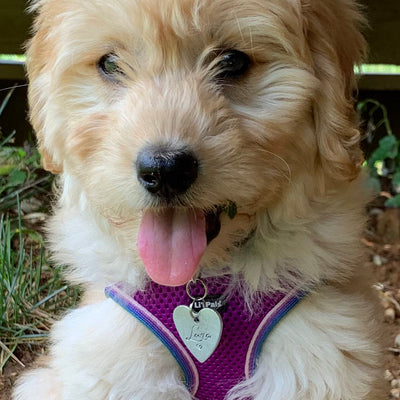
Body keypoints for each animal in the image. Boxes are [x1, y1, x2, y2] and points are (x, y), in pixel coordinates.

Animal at [14, 0, 384, 398]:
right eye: (110, 64)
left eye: (233, 61)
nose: (165, 170)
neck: (199, 283)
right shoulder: (117, 361)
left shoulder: (319, 352)